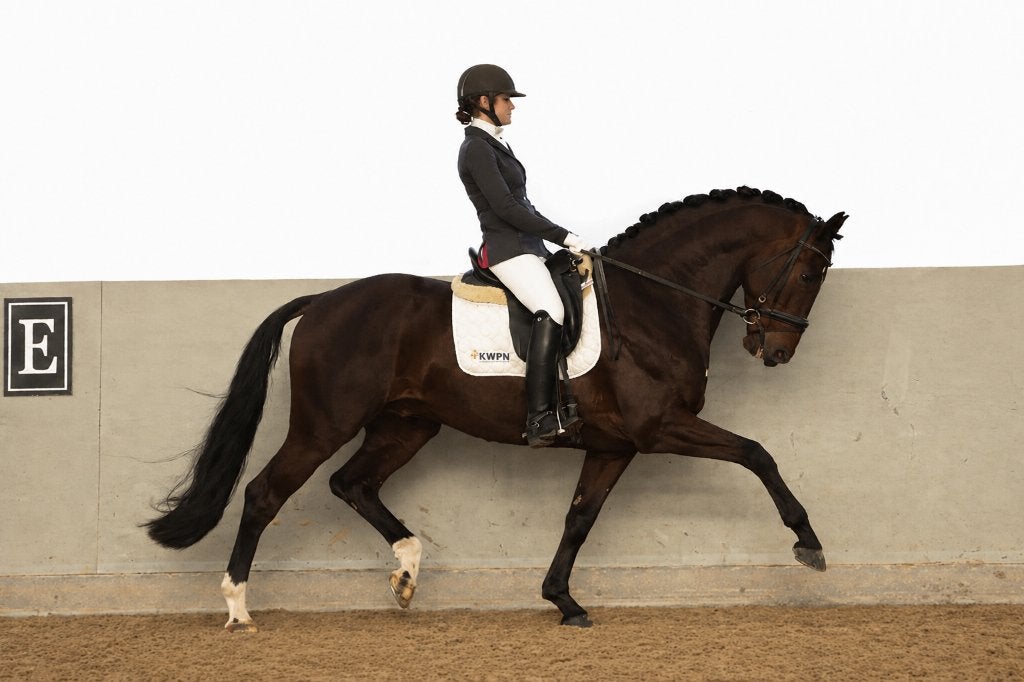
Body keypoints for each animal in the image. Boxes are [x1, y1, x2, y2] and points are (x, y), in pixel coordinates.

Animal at [145, 186, 847, 631]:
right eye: (810, 273)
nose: (775, 351)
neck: (653, 302)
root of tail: (322, 301)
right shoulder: (659, 427)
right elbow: (758, 453)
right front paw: (808, 543)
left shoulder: (613, 444)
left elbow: (579, 519)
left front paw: (563, 601)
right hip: (325, 424)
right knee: (266, 492)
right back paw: (239, 608)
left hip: (408, 425)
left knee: (353, 484)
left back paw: (407, 570)